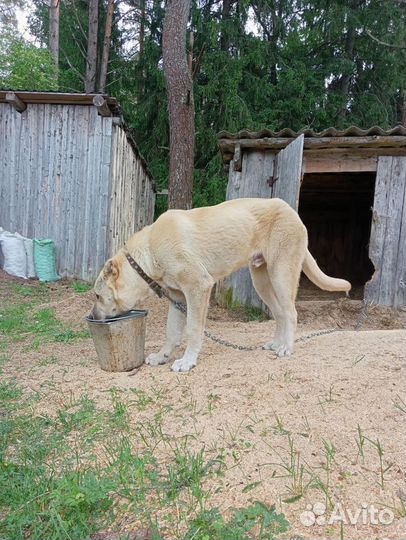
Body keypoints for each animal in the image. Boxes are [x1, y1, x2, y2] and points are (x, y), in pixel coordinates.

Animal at [93, 198, 352, 372]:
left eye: (96, 296)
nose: (93, 317)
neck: (150, 252)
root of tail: (291, 210)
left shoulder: (198, 288)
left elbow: (193, 329)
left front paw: (187, 361)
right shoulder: (177, 296)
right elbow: (172, 332)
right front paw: (162, 356)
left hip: (281, 275)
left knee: (291, 313)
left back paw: (286, 348)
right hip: (262, 281)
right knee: (279, 313)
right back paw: (276, 343)